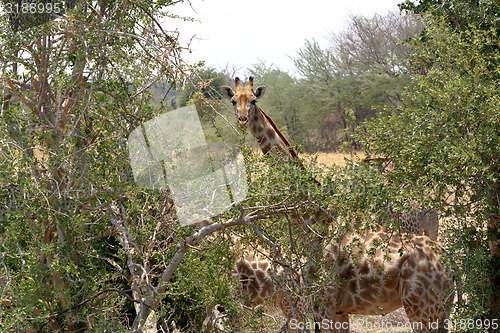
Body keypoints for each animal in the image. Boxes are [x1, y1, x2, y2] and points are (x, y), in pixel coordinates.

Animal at [219, 77, 454, 330]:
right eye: (233, 101)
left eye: (253, 100)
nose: (242, 120)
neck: (313, 218)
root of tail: (453, 269)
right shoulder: (336, 310)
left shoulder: (323, 303)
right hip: (440, 311)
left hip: (422, 311)